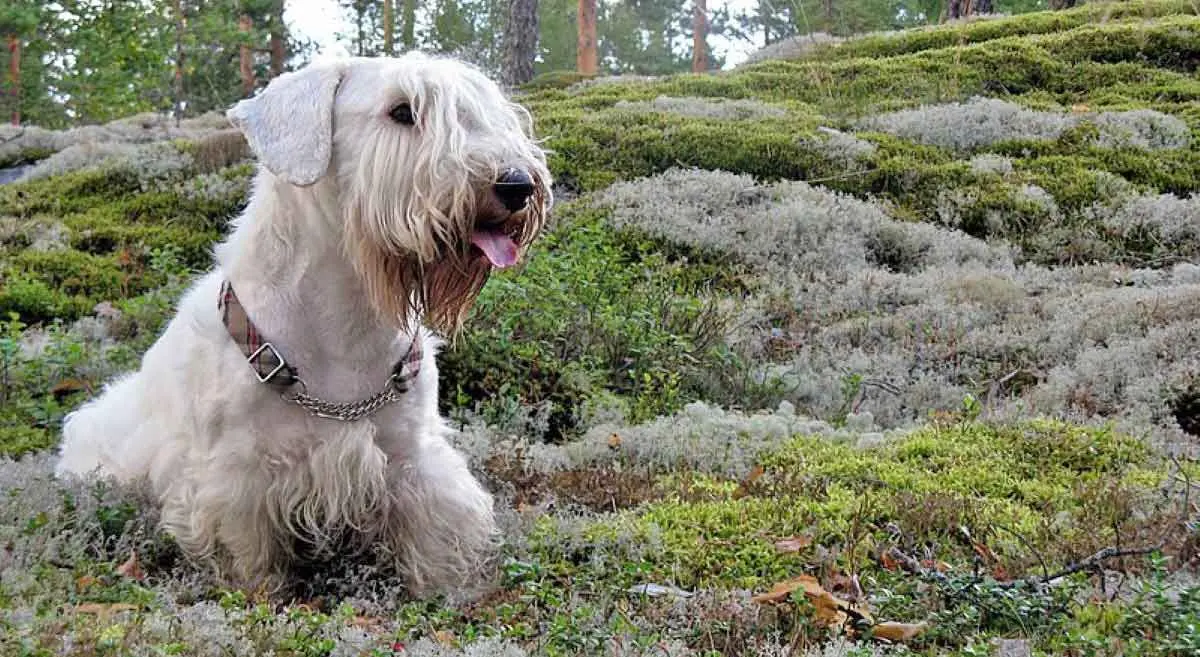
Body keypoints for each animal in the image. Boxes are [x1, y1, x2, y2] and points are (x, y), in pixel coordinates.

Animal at [56, 52, 552, 594]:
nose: (517, 184)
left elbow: (435, 535)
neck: (345, 321)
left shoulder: (411, 454)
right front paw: (260, 595)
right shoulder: (234, 478)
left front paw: (451, 592)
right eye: (402, 111)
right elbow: (248, 557)